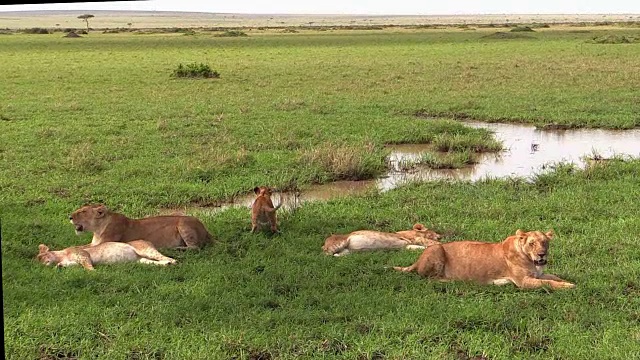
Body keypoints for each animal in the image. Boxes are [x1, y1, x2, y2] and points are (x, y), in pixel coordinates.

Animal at [69, 204, 211, 249]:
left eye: (82, 212)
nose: (69, 217)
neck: (97, 230)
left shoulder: (106, 242)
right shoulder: (94, 243)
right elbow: (77, 247)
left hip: (183, 223)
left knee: (195, 248)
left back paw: (178, 249)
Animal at [396, 231, 576, 290]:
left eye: (544, 242)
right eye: (532, 243)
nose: (541, 254)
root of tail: (416, 261)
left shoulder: (538, 274)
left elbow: (554, 277)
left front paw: (568, 282)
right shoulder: (523, 282)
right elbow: (549, 283)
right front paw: (568, 287)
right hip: (436, 248)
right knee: (430, 279)